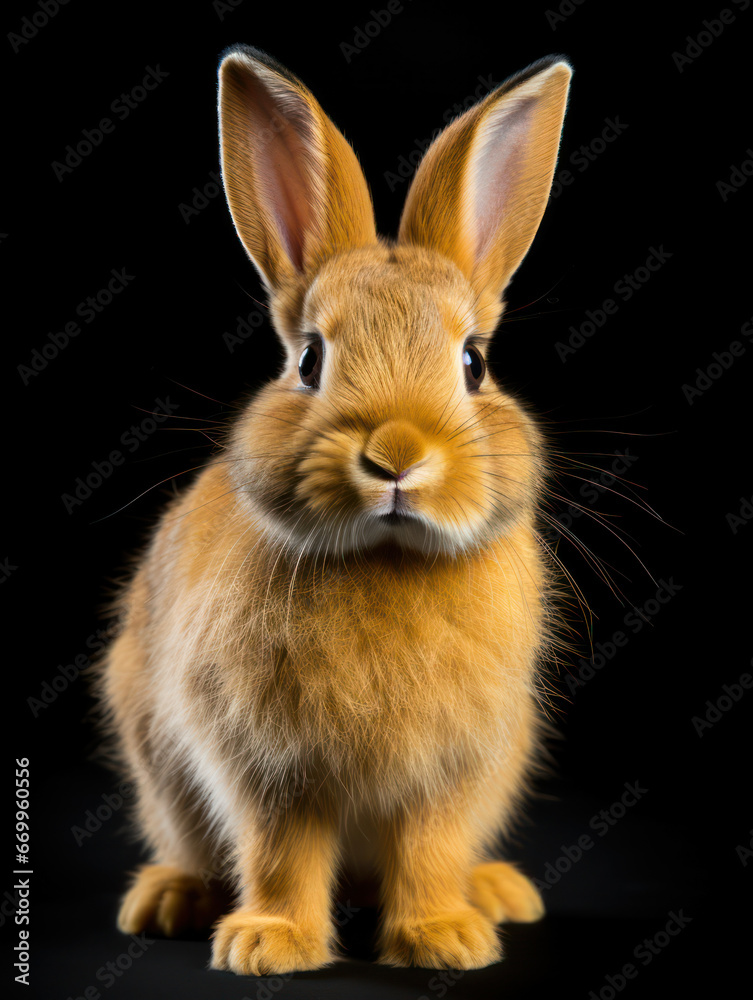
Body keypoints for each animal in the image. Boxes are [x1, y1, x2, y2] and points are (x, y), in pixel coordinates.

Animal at [98, 44, 572, 976]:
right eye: (310, 360)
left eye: (474, 362)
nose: (395, 455)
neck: (384, 557)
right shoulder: (265, 764)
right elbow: (281, 851)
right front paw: (268, 945)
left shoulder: (452, 768)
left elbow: (428, 848)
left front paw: (444, 937)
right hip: (157, 764)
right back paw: (168, 901)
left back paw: (496, 893)